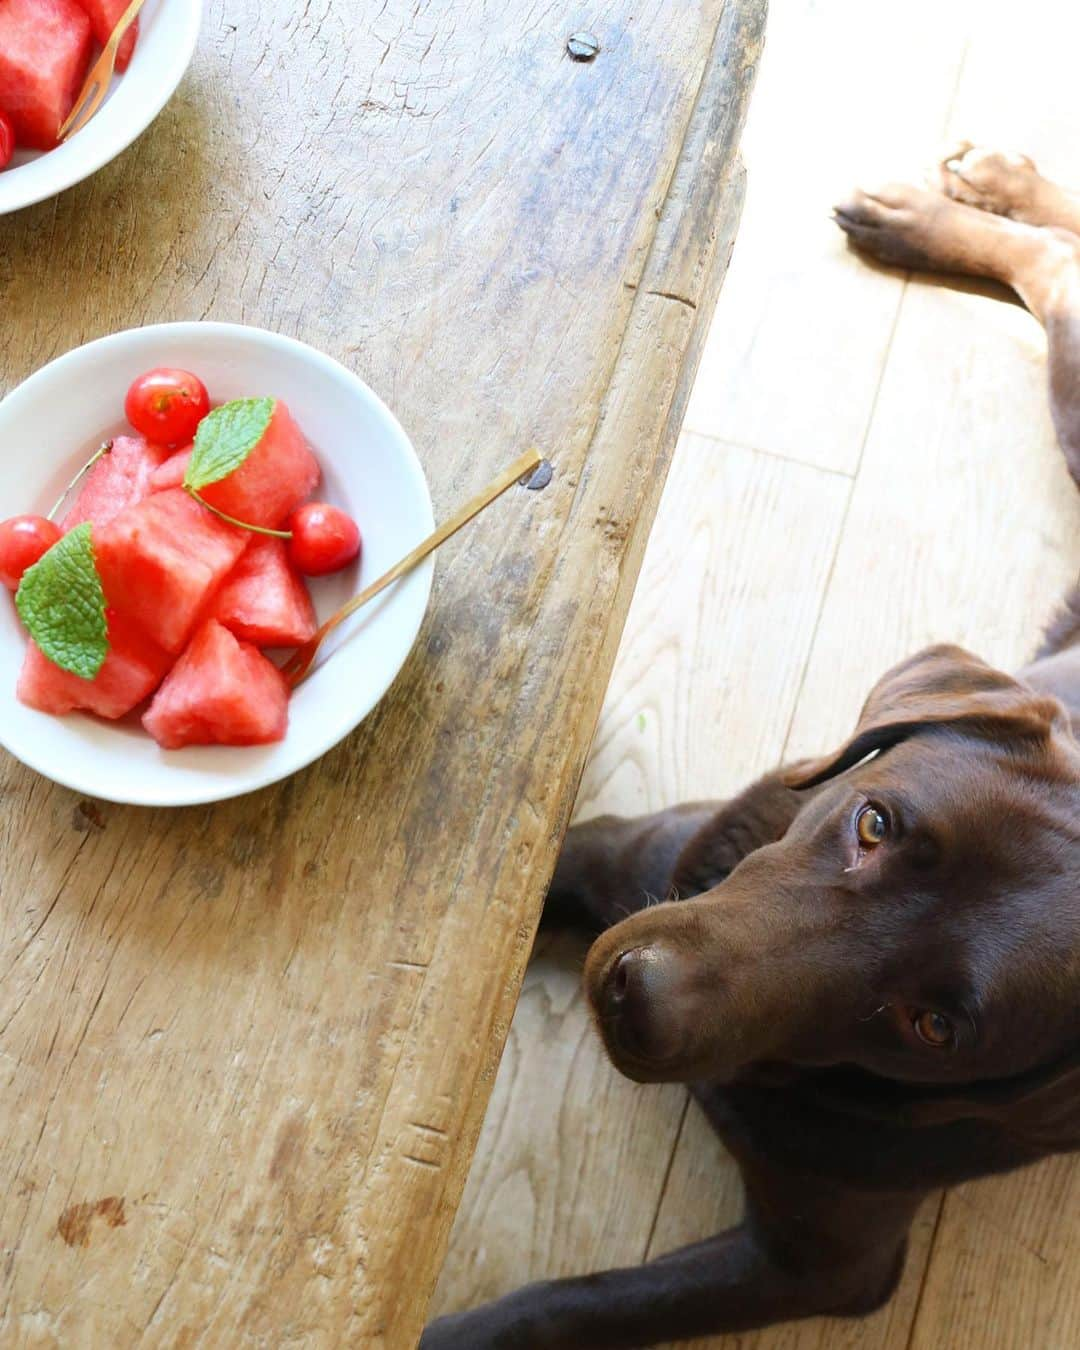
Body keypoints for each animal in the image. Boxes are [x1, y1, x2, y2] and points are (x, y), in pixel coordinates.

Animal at [418, 147, 1080, 1350]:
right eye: (875, 822)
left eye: (935, 1026)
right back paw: (957, 203)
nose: (636, 997)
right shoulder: (610, 856)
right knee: (1060, 263)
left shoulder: (818, 1263)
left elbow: (564, 1305)